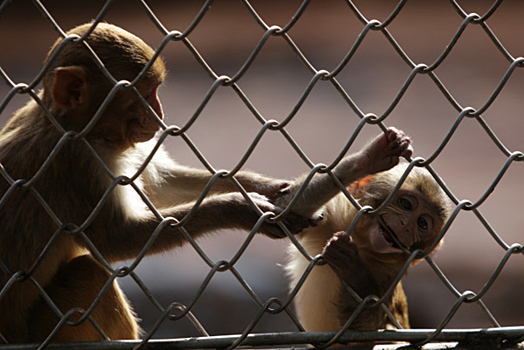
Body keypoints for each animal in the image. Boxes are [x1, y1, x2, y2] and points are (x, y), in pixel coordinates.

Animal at [0, 23, 312, 344]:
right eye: (145, 95)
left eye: (155, 91)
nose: (159, 116)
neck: (76, 128)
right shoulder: (77, 163)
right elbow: (117, 239)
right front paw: (239, 209)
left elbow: (161, 186)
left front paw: (263, 187)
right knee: (89, 273)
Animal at [276, 129, 452, 334]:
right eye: (406, 204)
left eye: (422, 223)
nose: (405, 225)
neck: (363, 243)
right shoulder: (333, 217)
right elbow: (286, 208)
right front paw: (373, 156)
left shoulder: (389, 275)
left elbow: (366, 324)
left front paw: (350, 264)